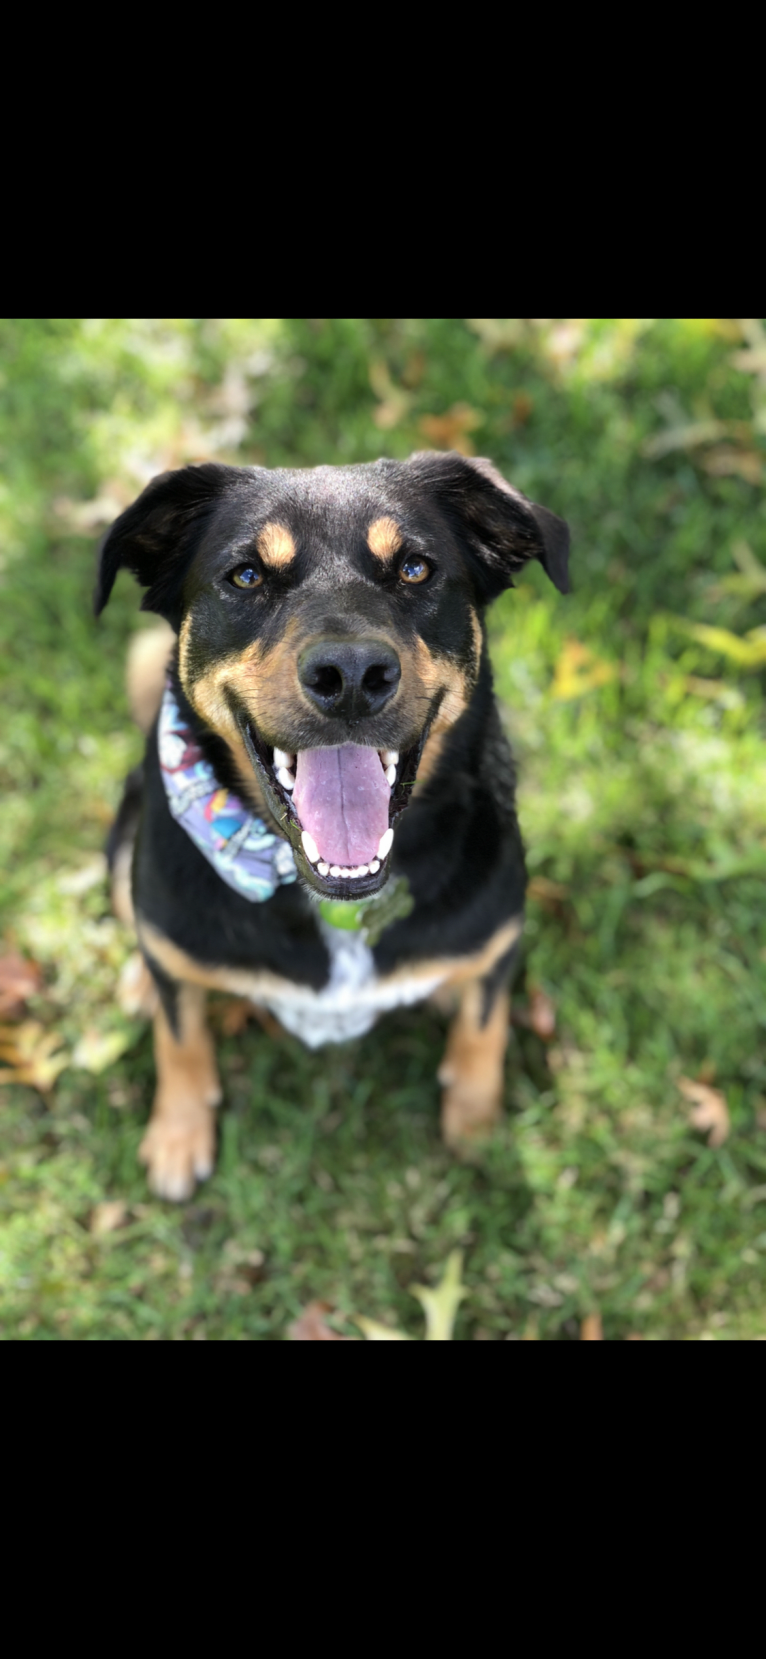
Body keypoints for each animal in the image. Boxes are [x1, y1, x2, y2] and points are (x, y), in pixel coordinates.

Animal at [95, 454, 567, 1201]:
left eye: (415, 568)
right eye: (246, 575)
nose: (350, 674)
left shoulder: (498, 934)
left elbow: (483, 1027)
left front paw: (477, 1126)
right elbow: (181, 1035)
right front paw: (177, 1134)